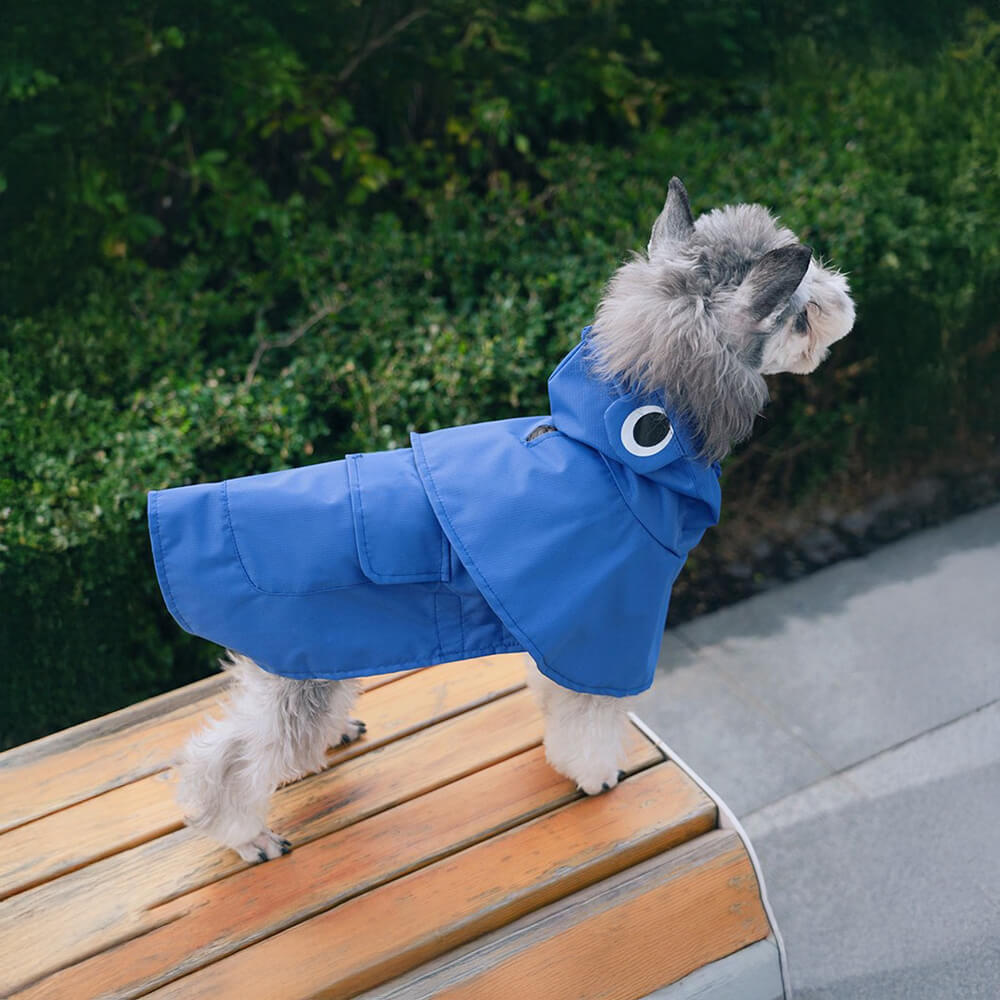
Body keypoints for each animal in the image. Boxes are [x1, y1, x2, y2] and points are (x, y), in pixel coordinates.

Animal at [176, 178, 856, 860]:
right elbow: (589, 720)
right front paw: (595, 776)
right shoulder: (604, 626)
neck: (614, 452)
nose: (845, 302)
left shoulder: (560, 629)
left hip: (303, 661)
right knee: (225, 762)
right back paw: (246, 835)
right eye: (801, 312)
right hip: (299, 663)